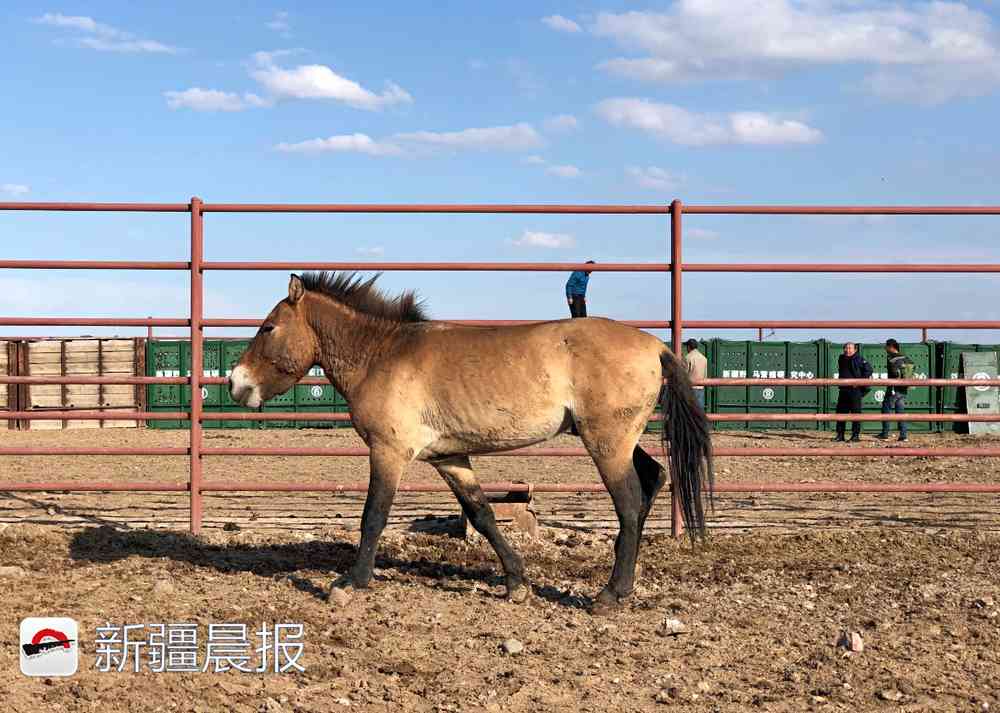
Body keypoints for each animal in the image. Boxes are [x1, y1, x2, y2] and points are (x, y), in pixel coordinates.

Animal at [229, 272, 712, 612]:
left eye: (268, 327)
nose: (235, 382)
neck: (382, 354)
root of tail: (654, 346)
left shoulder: (389, 452)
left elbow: (373, 517)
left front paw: (350, 583)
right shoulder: (450, 458)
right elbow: (482, 515)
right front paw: (517, 583)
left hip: (606, 442)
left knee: (629, 502)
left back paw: (609, 595)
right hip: (617, 439)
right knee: (654, 479)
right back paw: (624, 583)